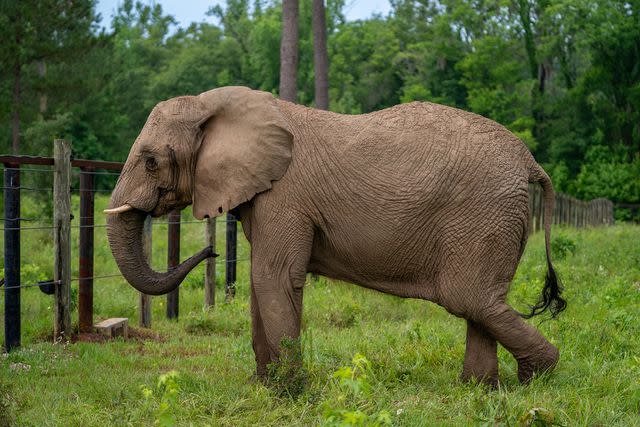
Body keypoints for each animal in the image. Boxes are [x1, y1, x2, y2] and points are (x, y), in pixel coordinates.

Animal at [105, 87, 564, 388]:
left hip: (483, 215)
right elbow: (261, 281)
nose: (211, 250)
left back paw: (534, 380)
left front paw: (290, 393)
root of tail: (530, 161)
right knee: (480, 302)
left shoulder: (284, 196)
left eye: (150, 161)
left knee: (467, 296)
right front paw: (264, 387)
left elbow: (274, 277)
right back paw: (479, 389)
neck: (216, 106)